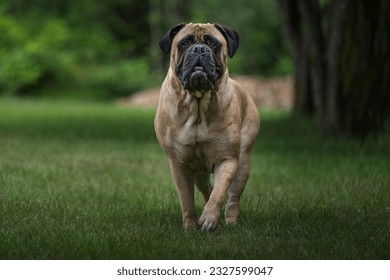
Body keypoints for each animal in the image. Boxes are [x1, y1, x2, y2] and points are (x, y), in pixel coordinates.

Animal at [155, 23, 258, 231]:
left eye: (213, 43)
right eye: (185, 43)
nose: (199, 49)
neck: (198, 104)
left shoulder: (227, 160)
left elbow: (220, 192)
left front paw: (209, 219)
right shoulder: (179, 164)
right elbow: (186, 198)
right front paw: (189, 225)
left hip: (243, 163)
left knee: (233, 196)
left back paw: (230, 220)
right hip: (199, 173)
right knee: (206, 189)